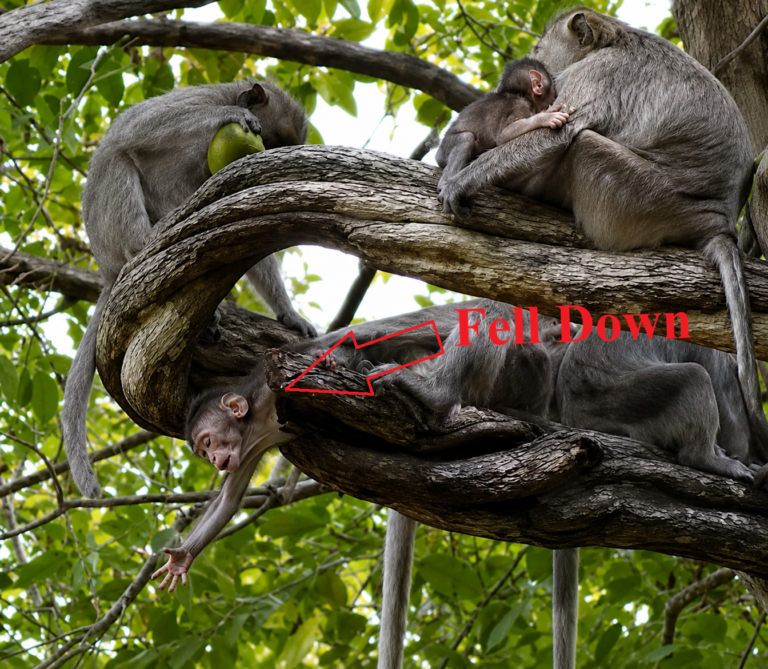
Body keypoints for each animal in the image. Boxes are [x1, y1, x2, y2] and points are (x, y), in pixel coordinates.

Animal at [63, 80, 315, 500]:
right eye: (271, 140)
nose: (265, 159)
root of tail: (108, 269)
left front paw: (289, 314)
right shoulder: (198, 101)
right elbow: (139, 128)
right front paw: (231, 116)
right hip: (108, 230)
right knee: (118, 160)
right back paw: (144, 247)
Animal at [435, 57, 571, 193]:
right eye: (552, 84)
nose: (556, 94)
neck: (521, 95)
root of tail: (437, 155)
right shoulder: (519, 105)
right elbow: (503, 135)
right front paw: (546, 116)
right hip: (446, 147)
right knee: (466, 138)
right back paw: (445, 183)